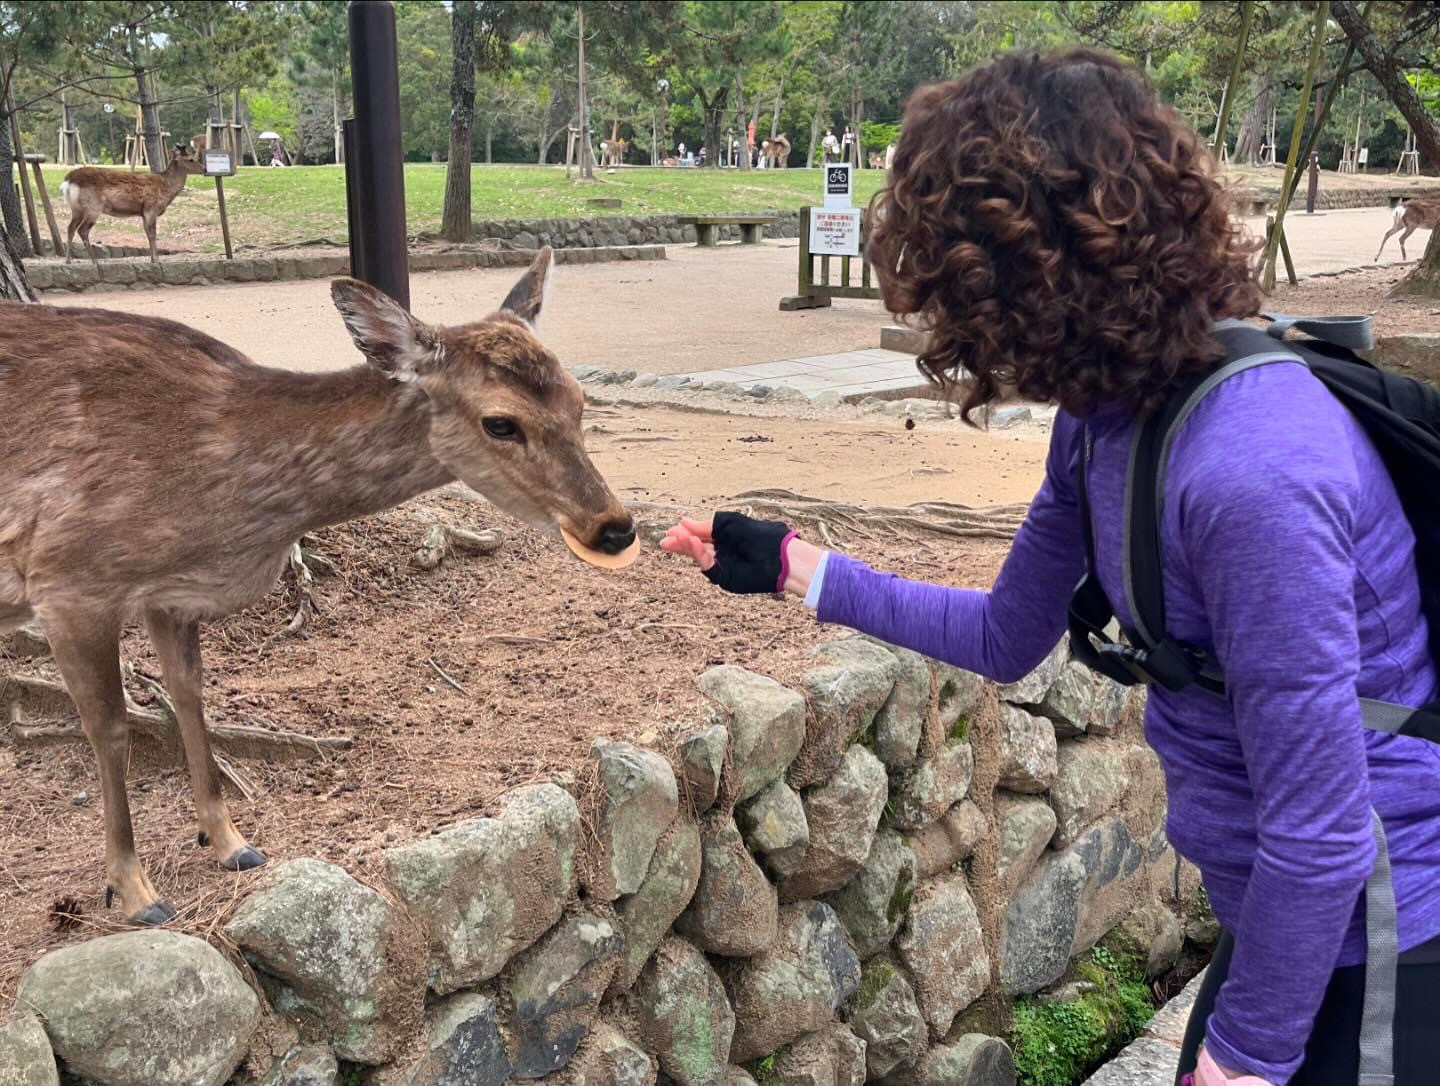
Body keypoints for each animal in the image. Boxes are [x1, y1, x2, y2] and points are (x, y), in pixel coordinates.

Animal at [0, 248, 636, 925]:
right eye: (500, 422)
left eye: (580, 400)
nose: (614, 527)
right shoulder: (68, 580)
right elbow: (111, 728)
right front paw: (136, 891)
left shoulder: (171, 595)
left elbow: (190, 697)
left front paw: (232, 843)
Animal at [61, 144, 206, 266]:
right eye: (191, 159)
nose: (204, 169)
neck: (166, 189)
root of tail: (67, 182)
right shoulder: (151, 208)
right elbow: (153, 234)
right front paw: (157, 260)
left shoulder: (143, 213)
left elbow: (147, 234)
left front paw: (152, 259)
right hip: (93, 207)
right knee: (82, 230)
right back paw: (94, 261)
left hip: (76, 209)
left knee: (70, 228)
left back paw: (68, 260)